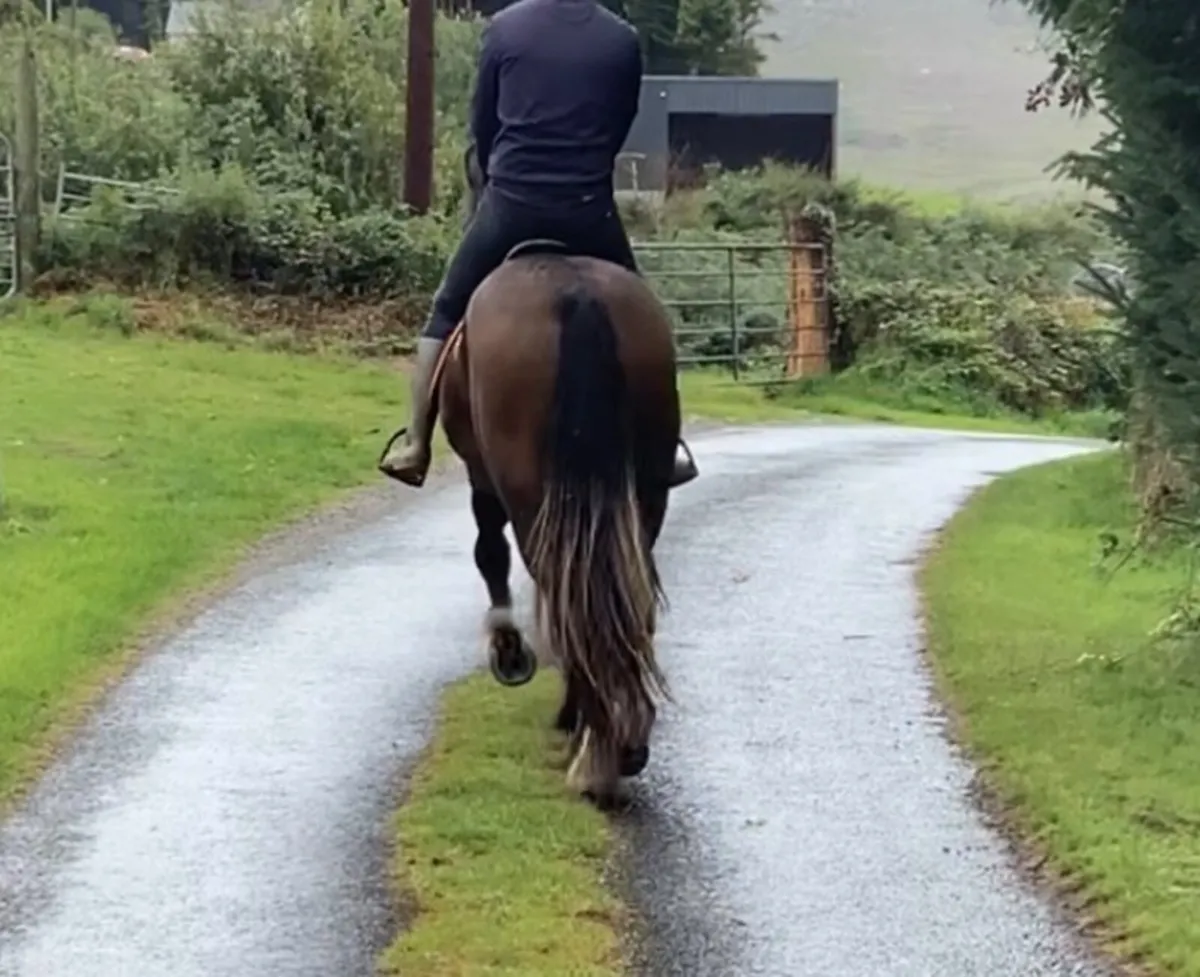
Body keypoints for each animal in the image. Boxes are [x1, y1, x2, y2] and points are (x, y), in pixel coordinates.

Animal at [435, 143, 682, 805]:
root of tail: (575, 293)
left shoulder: (481, 474)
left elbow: (488, 553)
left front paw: (509, 652)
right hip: (646, 489)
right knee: (619, 588)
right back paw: (618, 738)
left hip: (529, 492)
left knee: (558, 582)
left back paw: (591, 742)